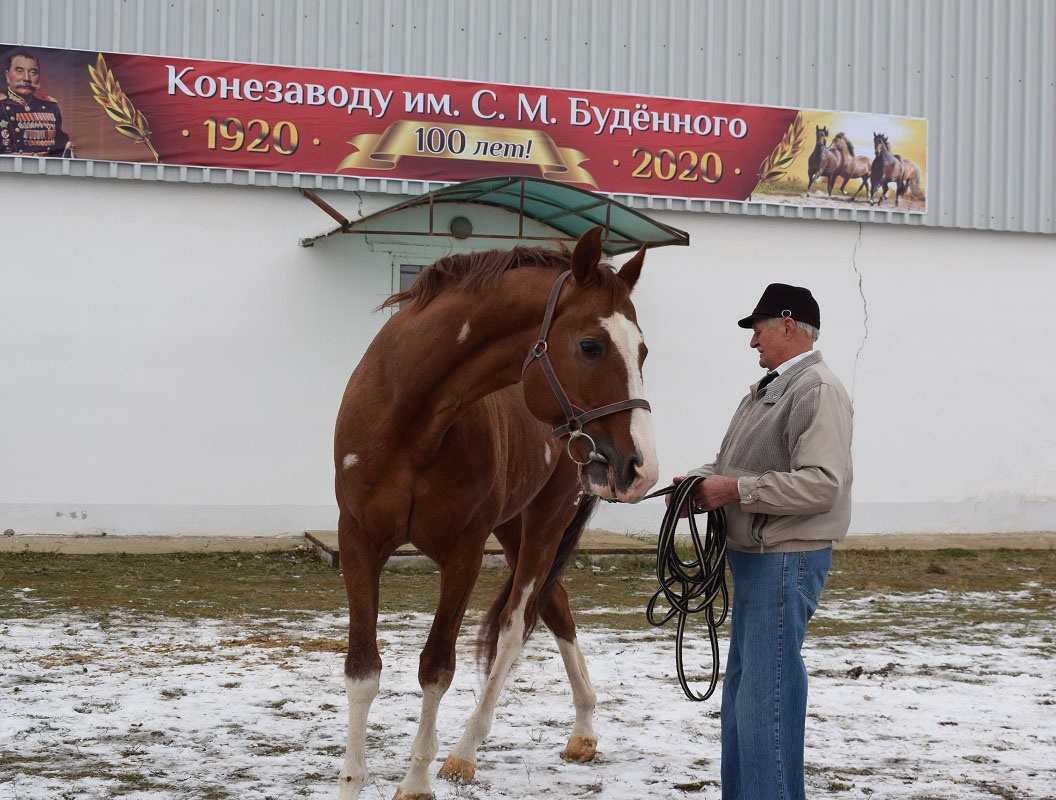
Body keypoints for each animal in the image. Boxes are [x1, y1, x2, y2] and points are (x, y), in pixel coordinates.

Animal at [333, 226, 654, 800]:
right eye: (591, 345)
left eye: (641, 350)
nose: (642, 467)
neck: (410, 421)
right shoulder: (358, 541)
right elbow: (363, 669)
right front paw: (352, 780)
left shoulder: (463, 551)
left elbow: (437, 666)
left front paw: (416, 780)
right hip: (511, 526)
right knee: (556, 606)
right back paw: (583, 729)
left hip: (546, 519)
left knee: (516, 623)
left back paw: (466, 751)